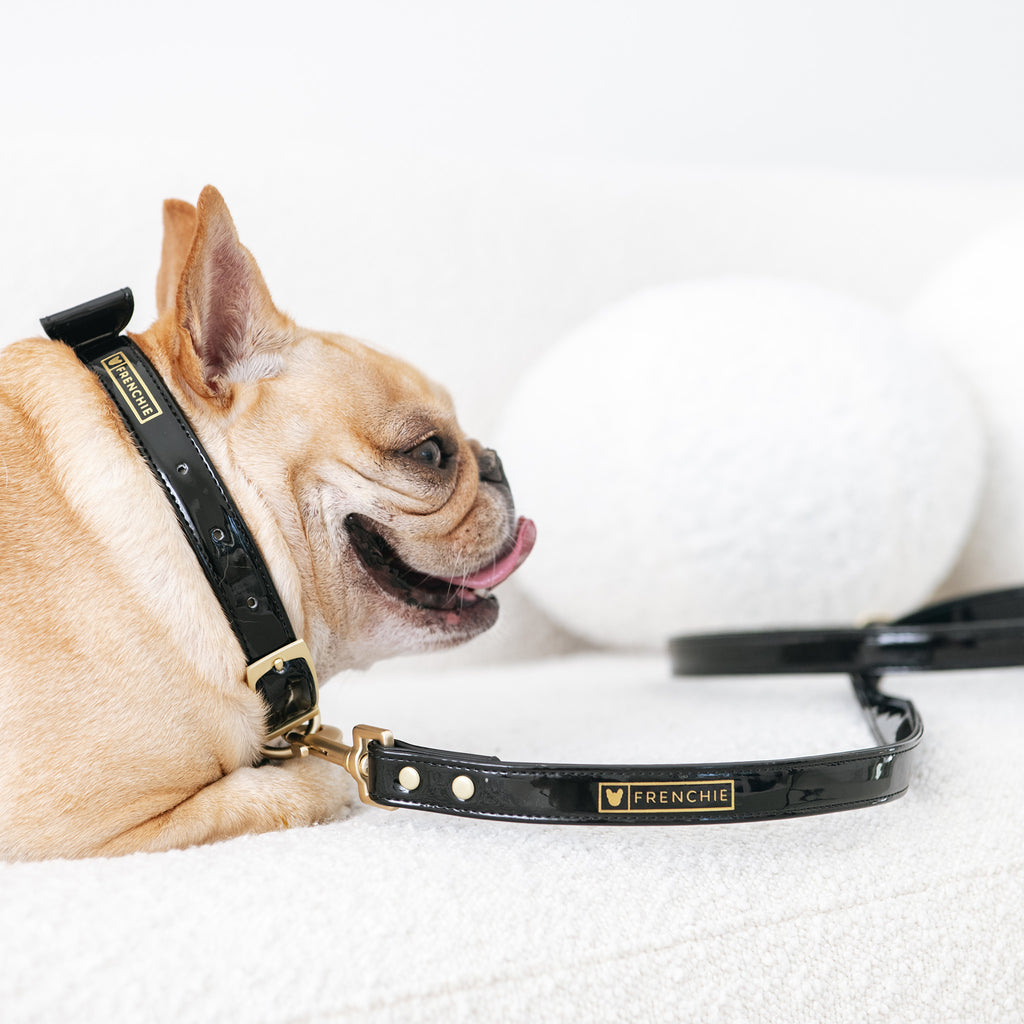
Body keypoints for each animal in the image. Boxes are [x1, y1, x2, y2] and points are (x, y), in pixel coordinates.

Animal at [0, 186, 535, 860]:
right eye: (431, 453)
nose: (496, 463)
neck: (195, 517)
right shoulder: (86, 830)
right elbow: (283, 791)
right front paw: (319, 780)